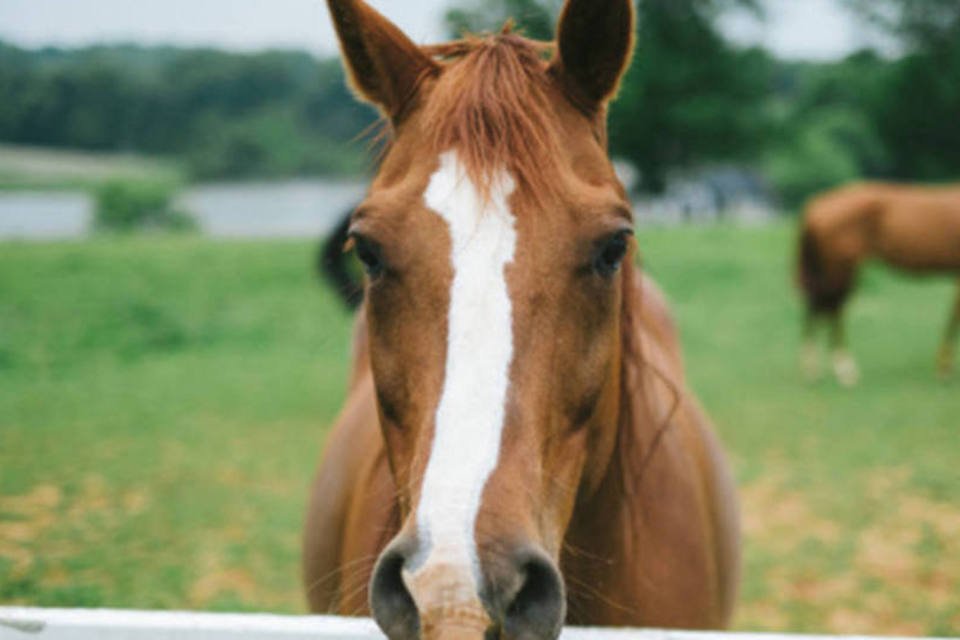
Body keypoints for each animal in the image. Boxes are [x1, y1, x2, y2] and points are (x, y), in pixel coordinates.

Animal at [796, 182, 960, 388]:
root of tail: (818, 206)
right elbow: (954, 316)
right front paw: (944, 369)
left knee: (820, 309)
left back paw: (816, 370)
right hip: (840, 272)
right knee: (832, 311)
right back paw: (844, 371)